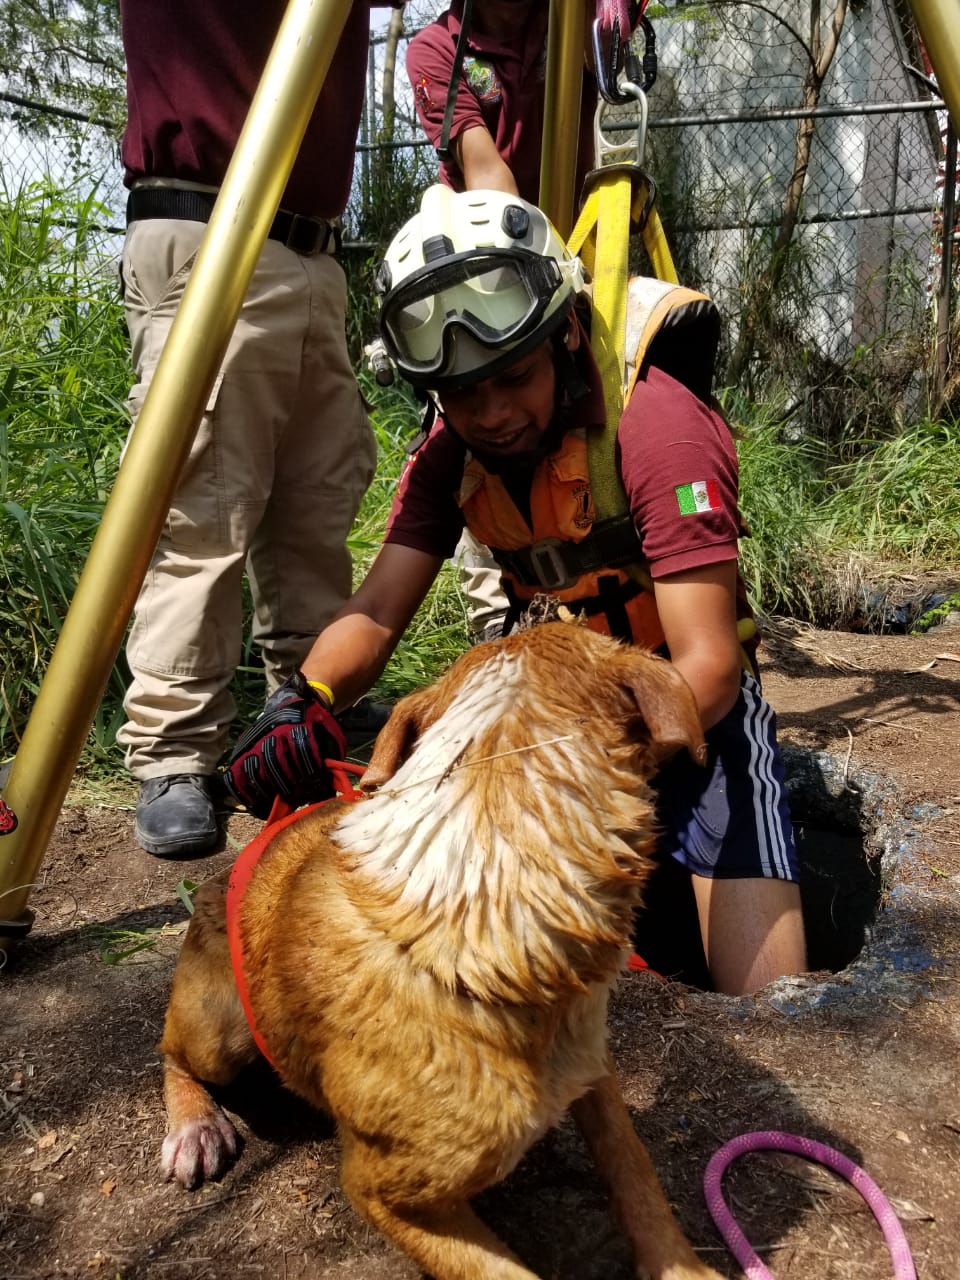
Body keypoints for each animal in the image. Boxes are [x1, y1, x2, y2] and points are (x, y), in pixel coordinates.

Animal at [161, 616, 727, 1269]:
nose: (534, 608)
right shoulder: (384, 1193)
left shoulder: (592, 1065)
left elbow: (636, 1173)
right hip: (220, 1033)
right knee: (172, 1051)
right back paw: (194, 1126)